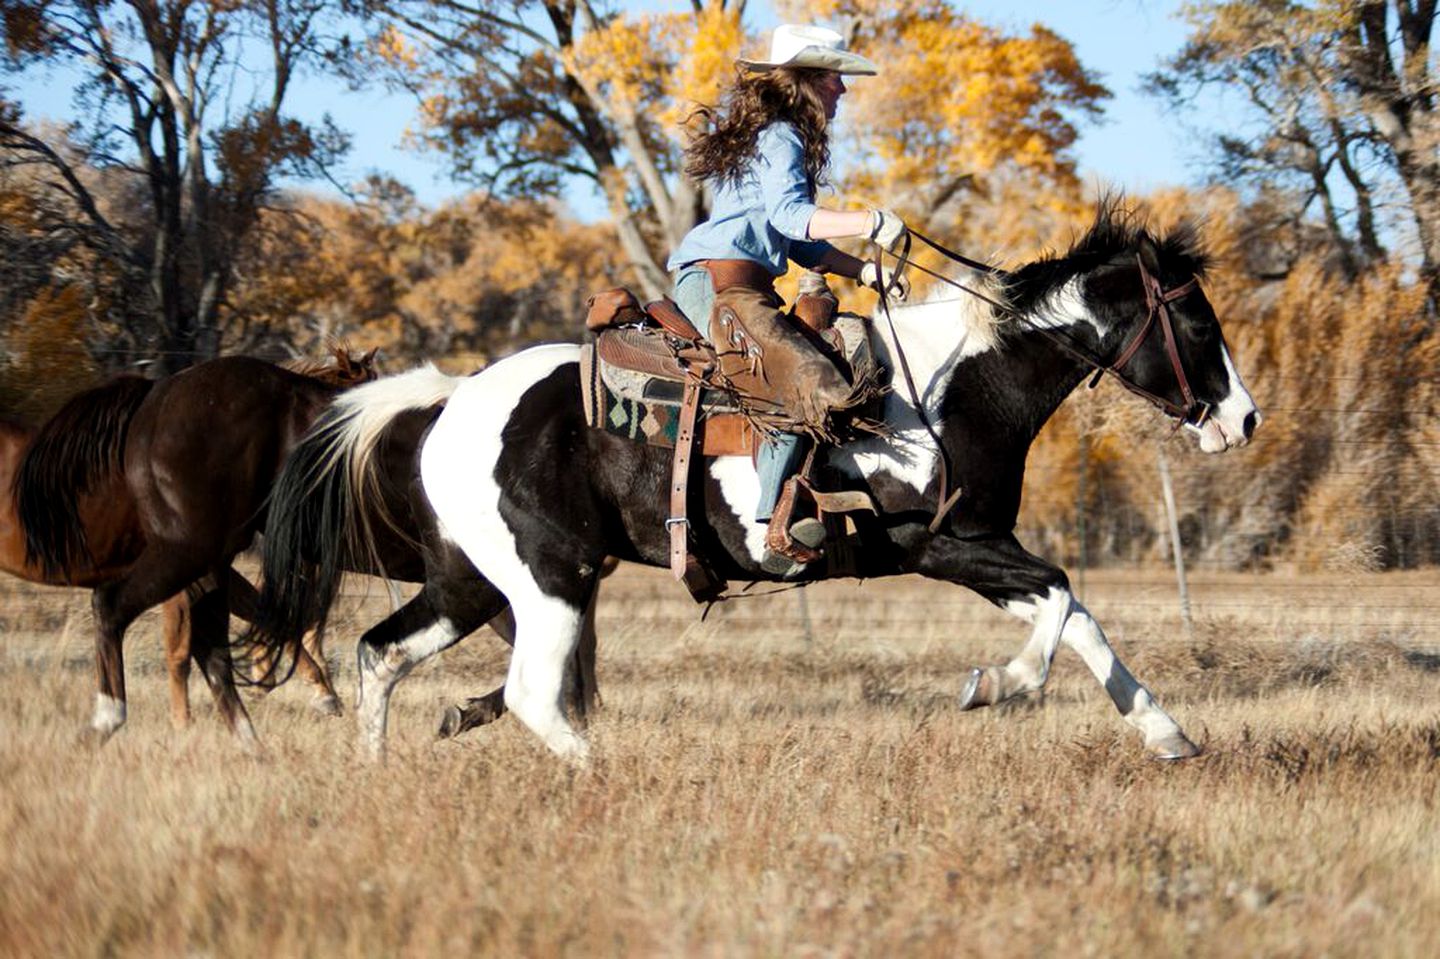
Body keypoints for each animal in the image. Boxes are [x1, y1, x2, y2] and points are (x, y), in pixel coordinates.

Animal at [256, 203, 1261, 760]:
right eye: (1199, 325)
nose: (1244, 419)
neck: (953, 387)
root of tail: (451, 398)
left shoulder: (981, 547)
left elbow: (1078, 616)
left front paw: (1167, 734)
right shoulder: (944, 544)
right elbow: (1058, 600)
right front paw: (994, 685)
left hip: (468, 580)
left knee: (380, 654)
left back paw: (377, 775)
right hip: (551, 579)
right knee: (531, 692)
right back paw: (605, 772)